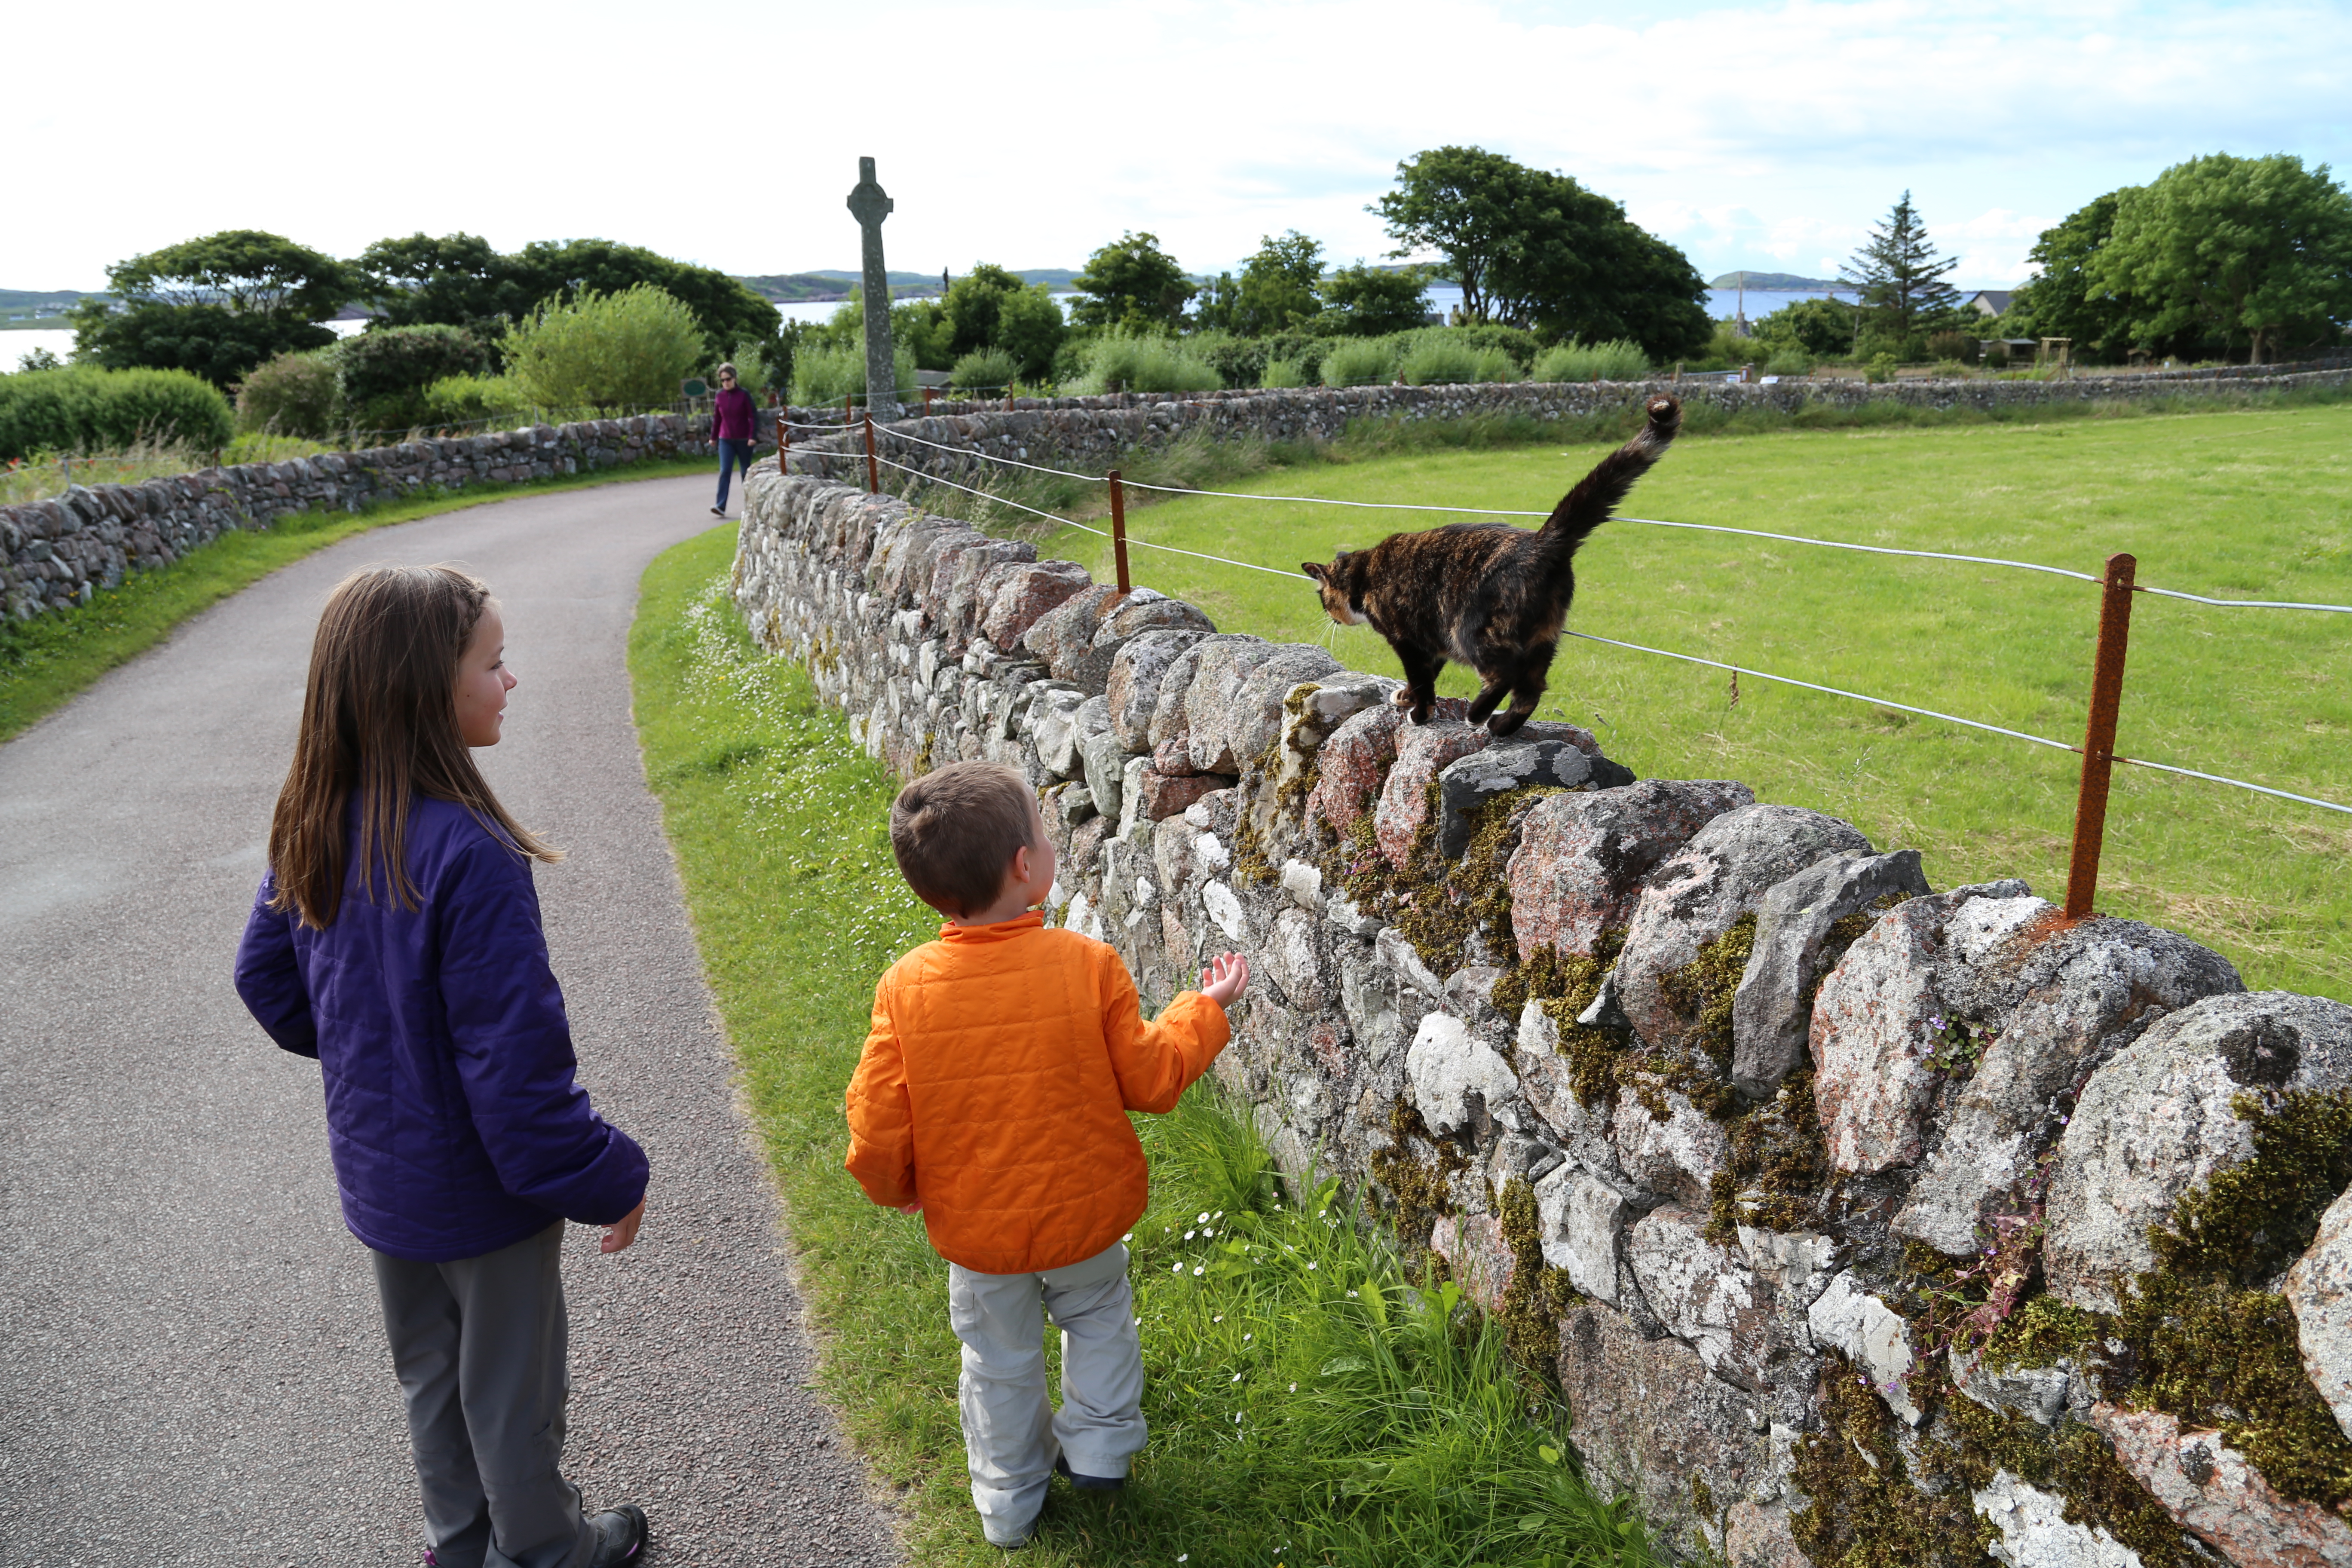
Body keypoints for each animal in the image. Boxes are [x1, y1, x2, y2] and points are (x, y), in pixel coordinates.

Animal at [1308, 392, 1693, 738]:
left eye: (1323, 601)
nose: (1330, 617)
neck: (1365, 574)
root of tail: (1542, 542)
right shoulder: (1432, 640)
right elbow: (1428, 675)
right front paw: (1405, 697)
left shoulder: (1408, 640)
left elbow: (1423, 682)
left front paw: (1420, 713)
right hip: (1543, 636)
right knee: (1533, 689)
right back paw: (1502, 726)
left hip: (1473, 630)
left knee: (1506, 674)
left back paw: (1477, 715)